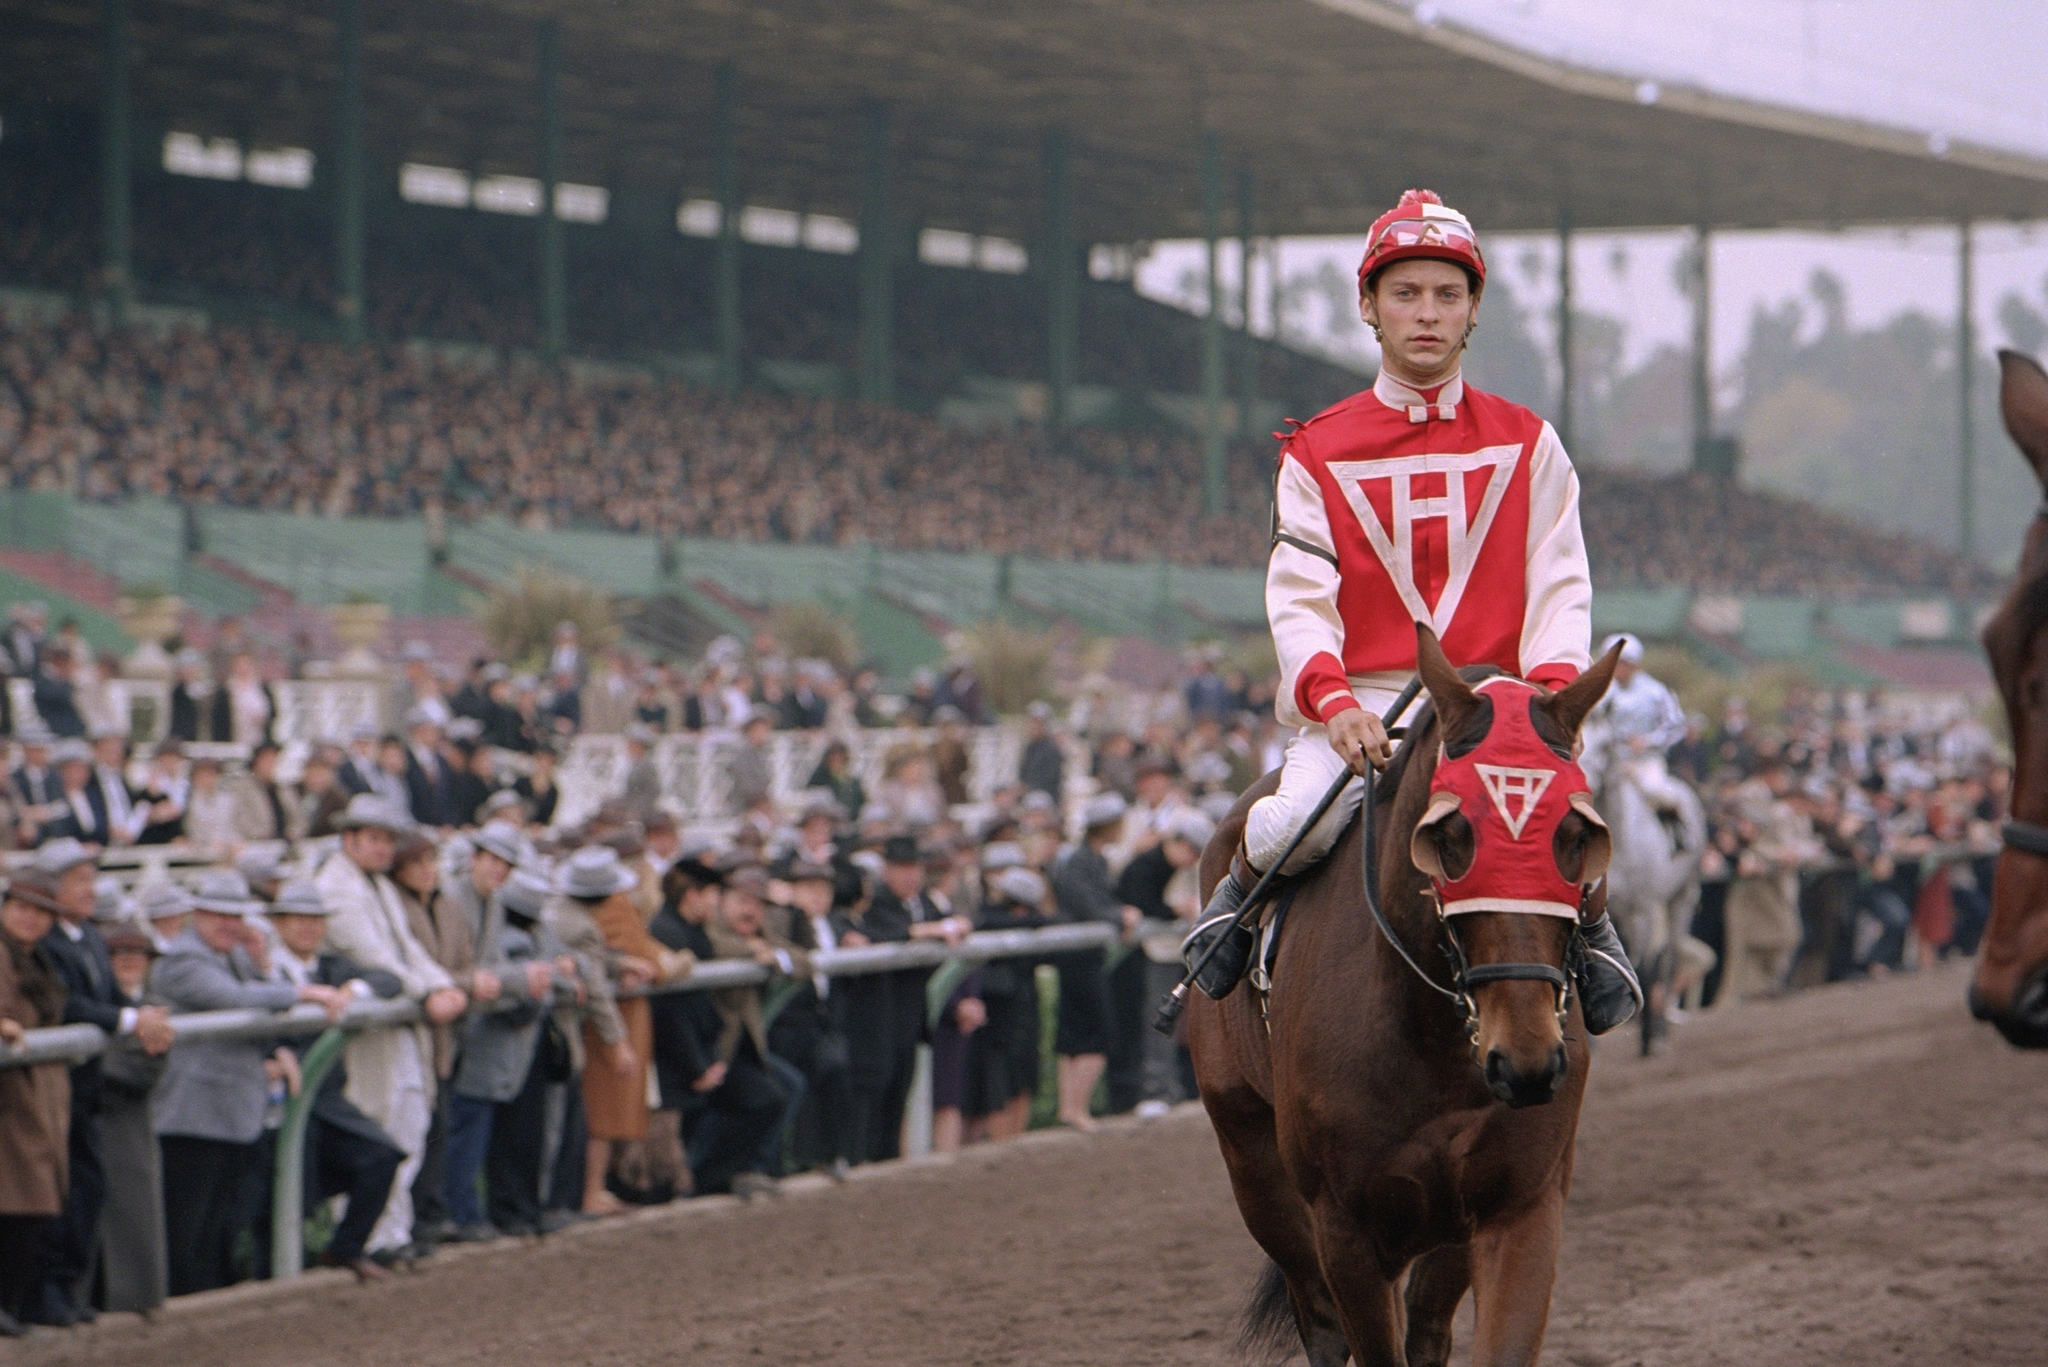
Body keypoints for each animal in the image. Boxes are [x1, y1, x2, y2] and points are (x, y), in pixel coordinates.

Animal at [1187, 627, 1613, 1367]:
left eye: (1576, 835)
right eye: (1449, 835)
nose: (1527, 1059)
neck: (1432, 1041)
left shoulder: (1519, 1207)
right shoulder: (1348, 1230)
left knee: (1429, 1328)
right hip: (1254, 1163)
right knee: (1320, 1321)